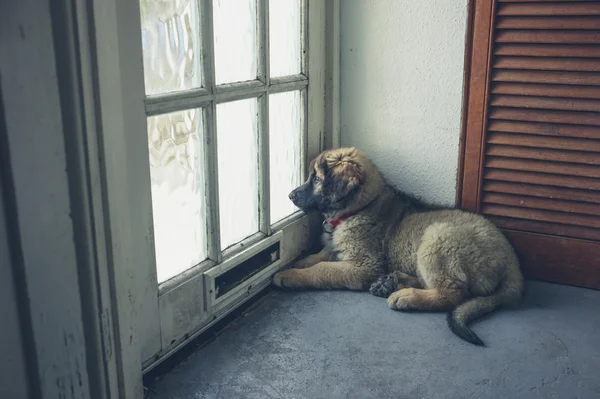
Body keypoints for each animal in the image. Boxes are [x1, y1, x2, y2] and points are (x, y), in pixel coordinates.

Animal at [274, 148, 524, 346]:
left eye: (316, 179)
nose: (290, 195)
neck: (359, 208)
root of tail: (511, 258)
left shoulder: (364, 264)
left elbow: (322, 269)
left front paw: (289, 275)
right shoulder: (336, 250)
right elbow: (316, 257)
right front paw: (296, 264)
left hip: (437, 239)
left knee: (453, 294)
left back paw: (406, 296)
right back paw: (392, 282)